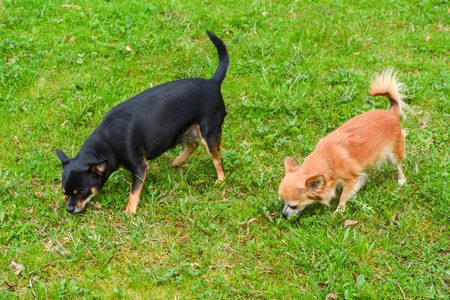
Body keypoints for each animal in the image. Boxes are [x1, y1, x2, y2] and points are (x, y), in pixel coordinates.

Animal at [55, 29, 229, 213]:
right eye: (65, 193)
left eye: (82, 193)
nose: (69, 209)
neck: (107, 142)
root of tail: (213, 82)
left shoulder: (140, 166)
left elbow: (134, 191)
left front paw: (129, 212)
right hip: (185, 131)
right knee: (193, 144)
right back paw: (178, 161)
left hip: (209, 133)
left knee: (217, 158)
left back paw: (221, 180)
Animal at [278, 69, 408, 218]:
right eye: (282, 202)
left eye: (293, 206)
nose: (283, 215)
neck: (327, 160)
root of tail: (391, 113)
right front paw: (353, 196)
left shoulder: (351, 179)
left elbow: (343, 196)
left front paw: (339, 211)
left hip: (394, 153)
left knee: (398, 166)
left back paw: (401, 179)